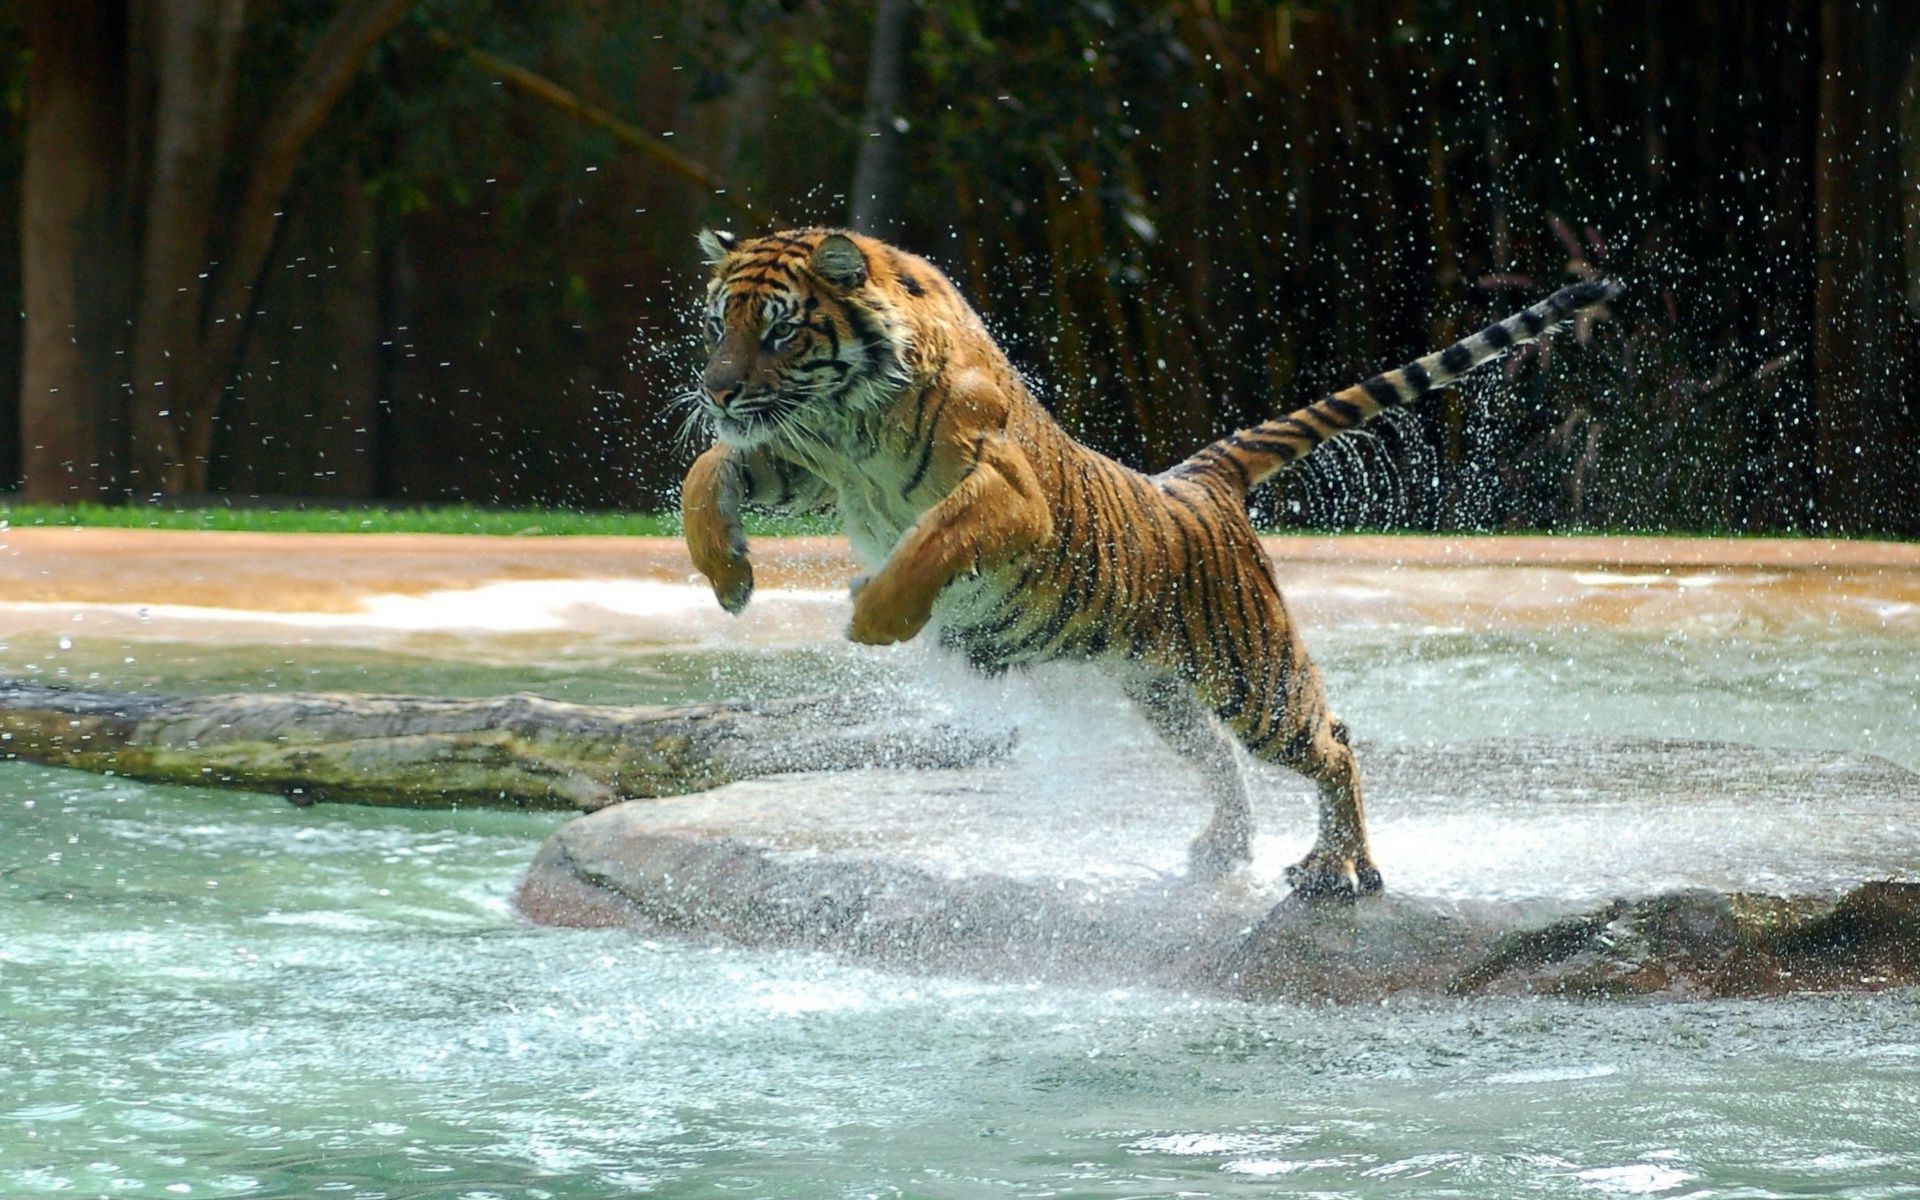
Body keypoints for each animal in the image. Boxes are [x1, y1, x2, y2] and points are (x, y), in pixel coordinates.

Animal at [683, 226, 1612, 898]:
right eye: (720, 323)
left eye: (779, 329)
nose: (715, 390)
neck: (848, 420)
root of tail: (1199, 480)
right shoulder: (801, 462)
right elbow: (708, 470)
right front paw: (729, 575)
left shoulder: (1008, 493)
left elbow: (931, 542)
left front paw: (873, 614)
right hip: (1162, 689)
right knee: (1221, 761)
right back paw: (1222, 852)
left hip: (1253, 677)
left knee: (1333, 743)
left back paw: (1339, 869)